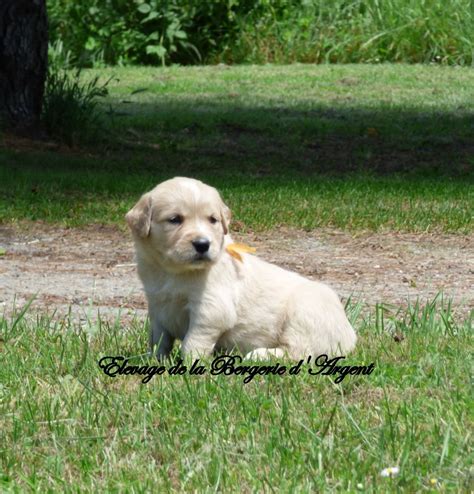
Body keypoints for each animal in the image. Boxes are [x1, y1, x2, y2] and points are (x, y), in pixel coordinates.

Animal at [126, 177, 356, 358]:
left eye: (213, 220)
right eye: (175, 219)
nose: (203, 244)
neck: (172, 271)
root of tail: (350, 337)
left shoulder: (210, 309)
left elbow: (193, 342)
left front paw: (190, 365)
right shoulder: (157, 305)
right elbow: (159, 339)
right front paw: (153, 360)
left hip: (304, 315)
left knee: (299, 352)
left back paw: (259, 355)